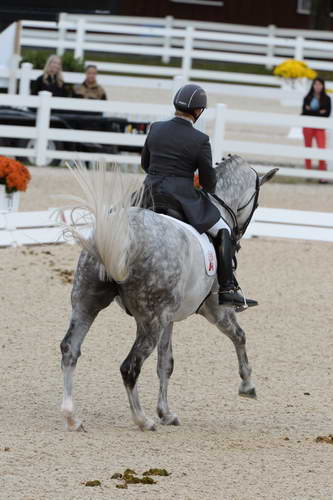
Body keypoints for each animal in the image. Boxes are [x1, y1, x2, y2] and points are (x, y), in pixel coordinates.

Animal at [60, 155, 278, 430]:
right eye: (257, 204)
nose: (238, 241)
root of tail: (123, 236)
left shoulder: (169, 319)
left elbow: (165, 363)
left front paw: (166, 412)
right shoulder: (215, 310)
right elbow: (239, 336)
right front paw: (247, 386)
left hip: (87, 303)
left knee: (70, 350)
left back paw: (72, 416)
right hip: (149, 322)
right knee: (129, 367)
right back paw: (142, 420)